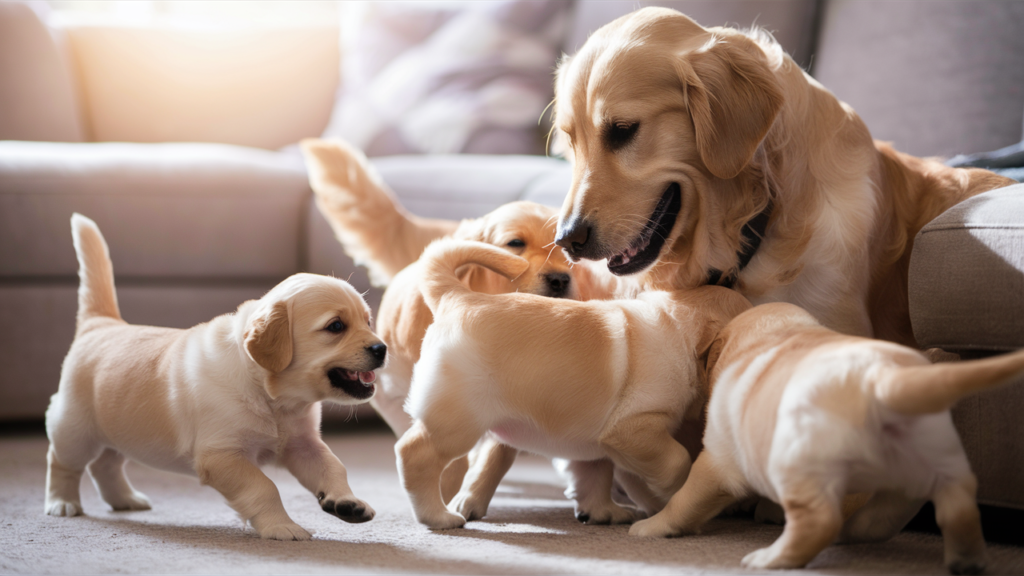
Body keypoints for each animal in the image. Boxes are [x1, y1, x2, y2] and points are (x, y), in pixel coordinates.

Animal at [44, 212, 387, 537]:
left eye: (368, 321)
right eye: (336, 326)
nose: (382, 348)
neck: (272, 396)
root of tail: (102, 323)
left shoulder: (302, 444)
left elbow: (333, 466)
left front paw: (347, 502)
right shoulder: (222, 455)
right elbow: (264, 487)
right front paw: (281, 527)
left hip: (119, 429)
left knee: (105, 465)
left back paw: (124, 499)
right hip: (75, 429)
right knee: (62, 462)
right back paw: (62, 502)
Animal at [630, 303, 1024, 569]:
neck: (777, 333)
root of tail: (882, 380)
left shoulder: (718, 461)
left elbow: (684, 501)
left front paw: (652, 526)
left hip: (801, 465)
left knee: (818, 521)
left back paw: (771, 557)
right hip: (931, 459)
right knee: (939, 505)